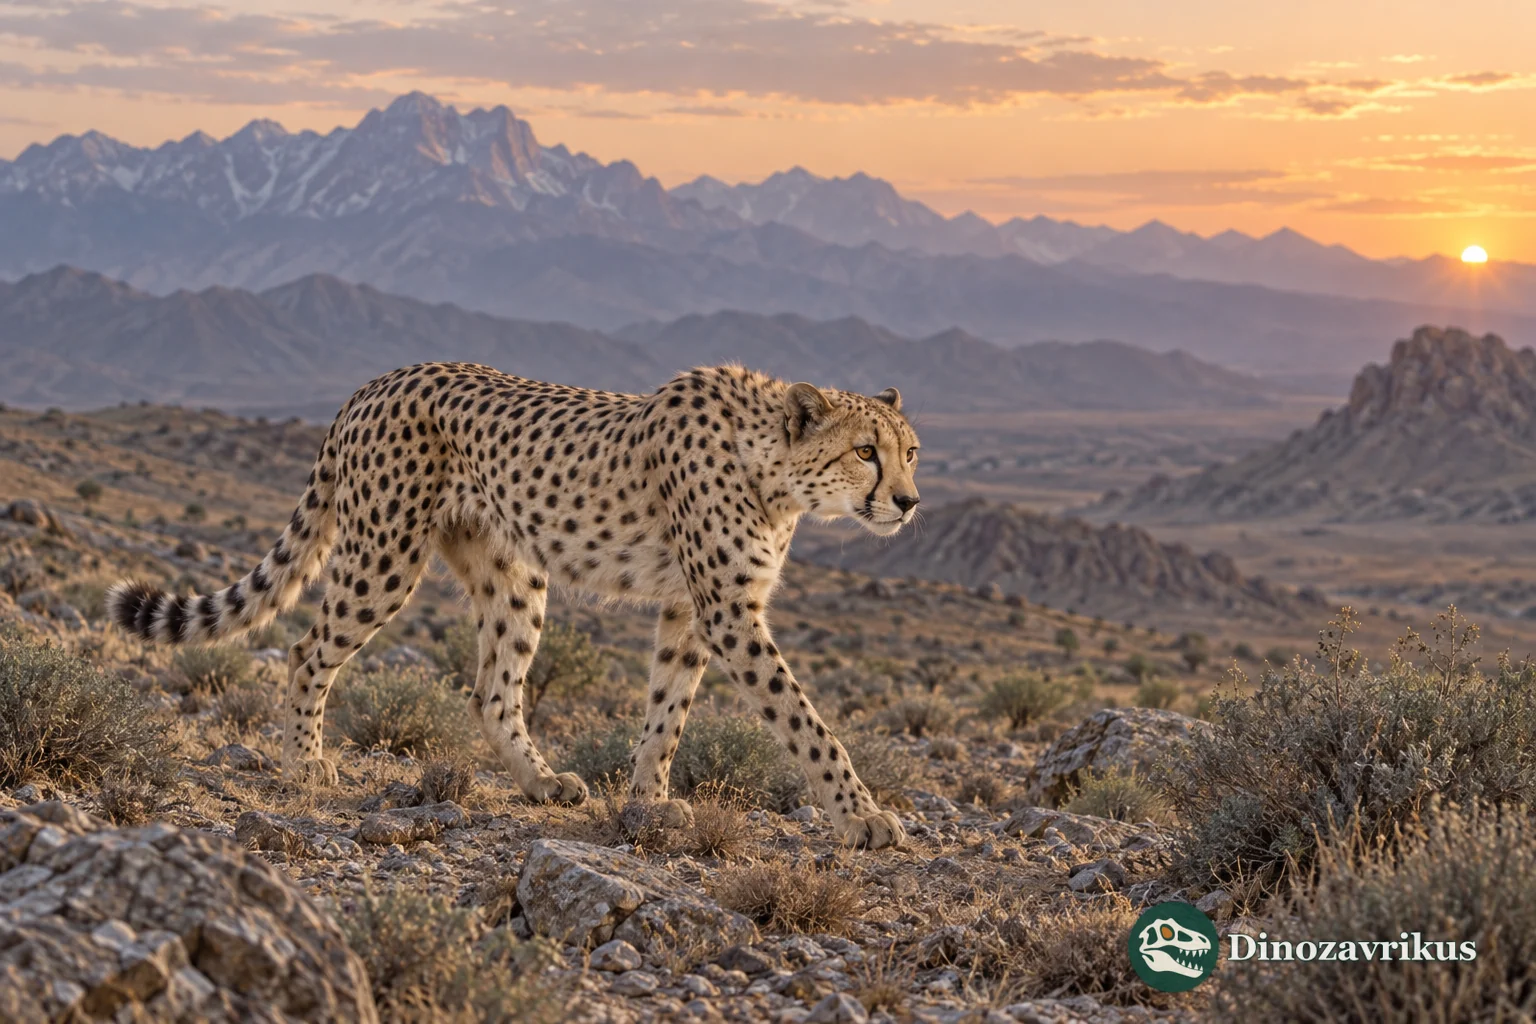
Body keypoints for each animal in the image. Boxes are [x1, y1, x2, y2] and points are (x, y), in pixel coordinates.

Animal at [107, 361, 922, 849]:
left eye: (910, 452)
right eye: (865, 452)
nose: (910, 502)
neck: (773, 468)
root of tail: (374, 381)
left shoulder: (693, 612)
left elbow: (667, 712)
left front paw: (647, 802)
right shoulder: (726, 609)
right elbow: (805, 720)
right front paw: (862, 815)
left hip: (514, 574)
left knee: (492, 690)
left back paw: (541, 782)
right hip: (383, 556)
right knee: (309, 651)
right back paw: (305, 764)